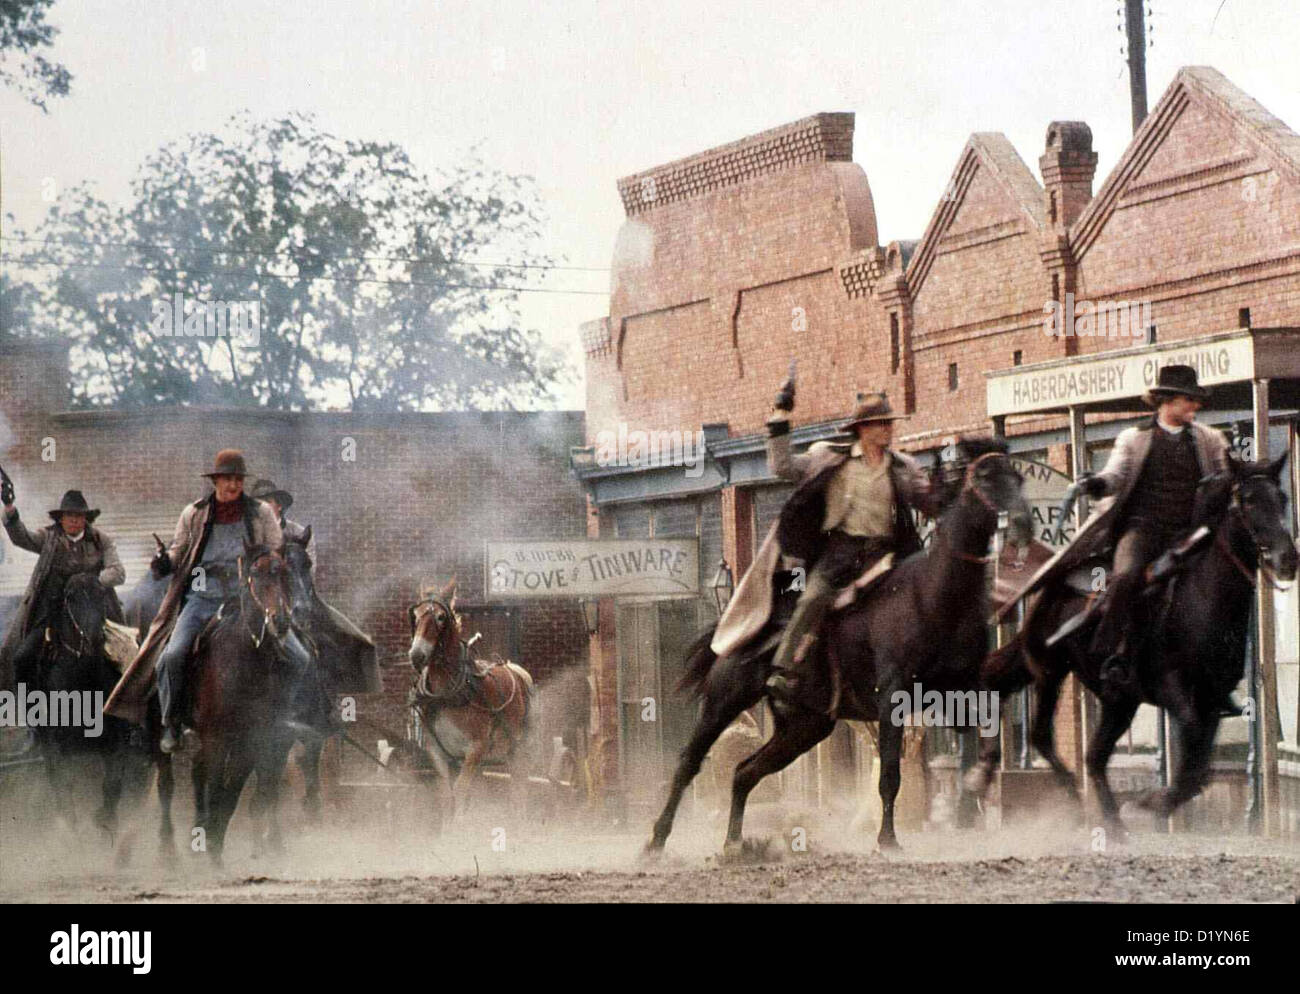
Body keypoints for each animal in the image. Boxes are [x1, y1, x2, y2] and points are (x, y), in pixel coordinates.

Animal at [403, 576, 530, 815]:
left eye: (441, 617)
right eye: (415, 615)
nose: (417, 655)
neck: (449, 694)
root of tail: (514, 669)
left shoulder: (475, 748)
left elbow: (460, 791)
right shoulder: (438, 753)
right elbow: (446, 796)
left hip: (515, 747)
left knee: (519, 785)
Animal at [644, 439, 1029, 857]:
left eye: (1018, 476)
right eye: (987, 477)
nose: (1022, 523)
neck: (933, 594)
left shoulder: (961, 688)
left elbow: (988, 726)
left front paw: (980, 779)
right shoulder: (892, 696)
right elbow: (889, 775)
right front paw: (887, 840)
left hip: (804, 726)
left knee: (745, 772)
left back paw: (734, 844)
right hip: (723, 701)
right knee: (689, 763)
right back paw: (655, 841)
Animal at [977, 452, 1294, 831]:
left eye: (1282, 498)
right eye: (1247, 500)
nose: (1288, 559)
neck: (1200, 600)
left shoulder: (1212, 700)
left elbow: (1197, 771)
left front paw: (1153, 804)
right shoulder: (1176, 691)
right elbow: (1192, 758)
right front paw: (1149, 804)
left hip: (1116, 700)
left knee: (1093, 756)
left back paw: (1112, 823)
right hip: (1050, 671)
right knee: (1042, 734)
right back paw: (1070, 798)